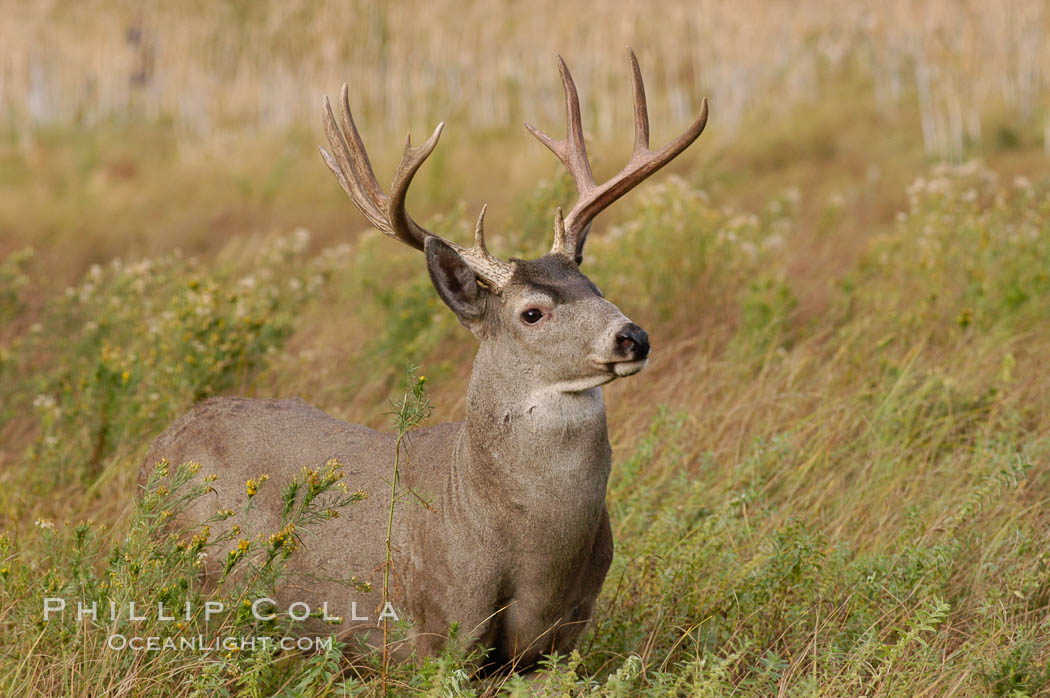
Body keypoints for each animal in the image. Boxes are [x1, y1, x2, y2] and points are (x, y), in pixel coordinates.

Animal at [141, 49, 705, 671]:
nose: (633, 337)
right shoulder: (440, 625)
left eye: (596, 286)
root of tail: (156, 448)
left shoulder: (560, 638)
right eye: (532, 313)